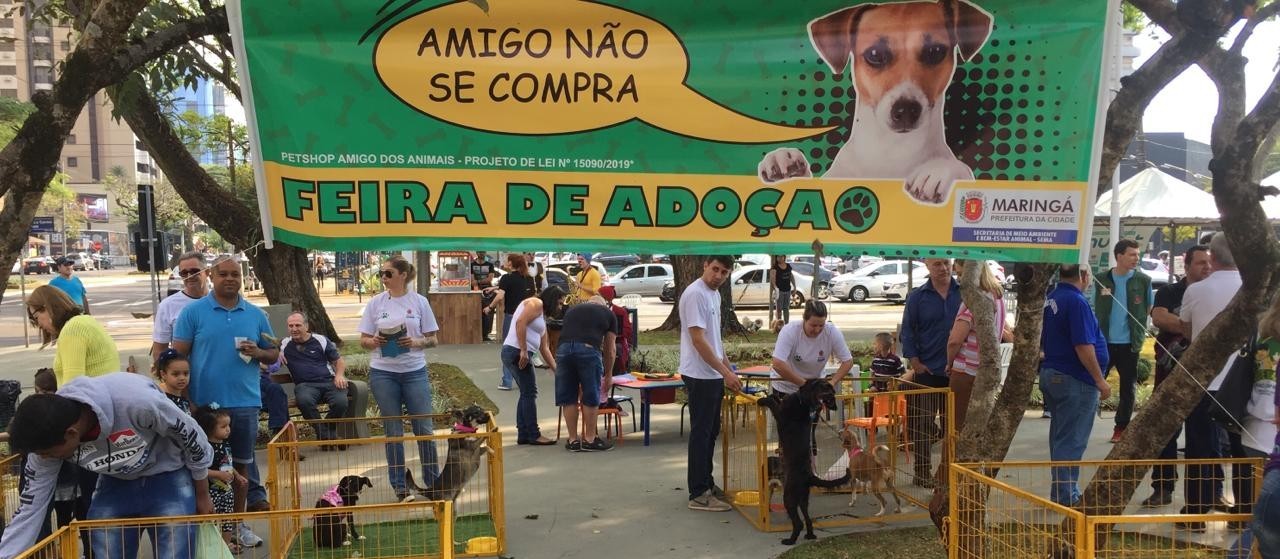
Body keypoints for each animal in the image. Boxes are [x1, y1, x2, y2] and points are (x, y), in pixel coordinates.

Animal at [752, 0, 993, 205]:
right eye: (875, 54)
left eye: (935, 51)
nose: (906, 110)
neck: (891, 150)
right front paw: (784, 160)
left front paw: (938, 171)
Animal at [757, 378, 849, 544]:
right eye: (829, 391)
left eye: (832, 393)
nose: (834, 406)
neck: (802, 402)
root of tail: (809, 476)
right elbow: (776, 399)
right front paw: (772, 395)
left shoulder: (780, 415)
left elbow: (773, 403)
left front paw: (763, 399)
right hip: (803, 498)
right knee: (808, 519)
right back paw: (810, 535)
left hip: (789, 496)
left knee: (799, 523)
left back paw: (790, 540)